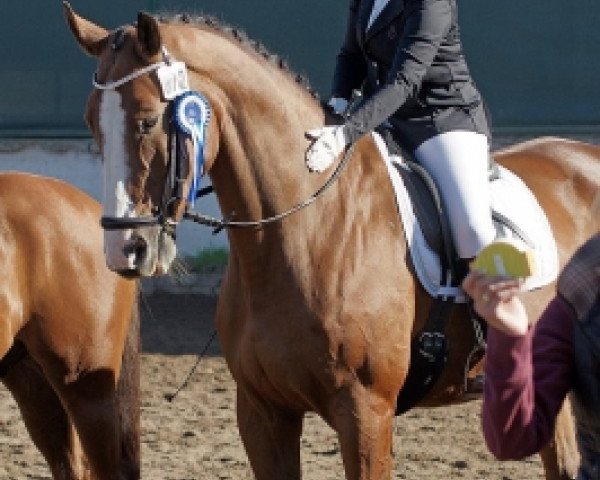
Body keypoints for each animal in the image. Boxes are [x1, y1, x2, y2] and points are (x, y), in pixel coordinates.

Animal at [63, 4, 596, 480]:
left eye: (148, 120)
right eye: (90, 121)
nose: (124, 249)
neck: (303, 234)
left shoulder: (366, 412)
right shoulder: (262, 413)